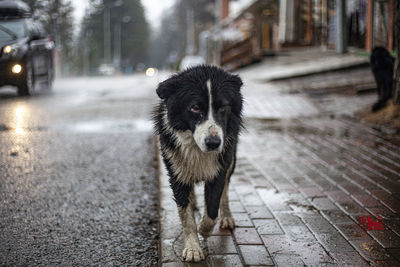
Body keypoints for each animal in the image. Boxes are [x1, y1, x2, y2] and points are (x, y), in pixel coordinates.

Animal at [152, 66, 242, 262]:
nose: (213, 143)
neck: (197, 148)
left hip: (232, 160)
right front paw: (193, 248)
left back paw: (226, 216)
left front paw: (204, 228)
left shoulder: (220, 167)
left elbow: (212, 210)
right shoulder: (176, 171)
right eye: (194, 108)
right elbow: (185, 216)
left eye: (223, 107)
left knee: (225, 190)